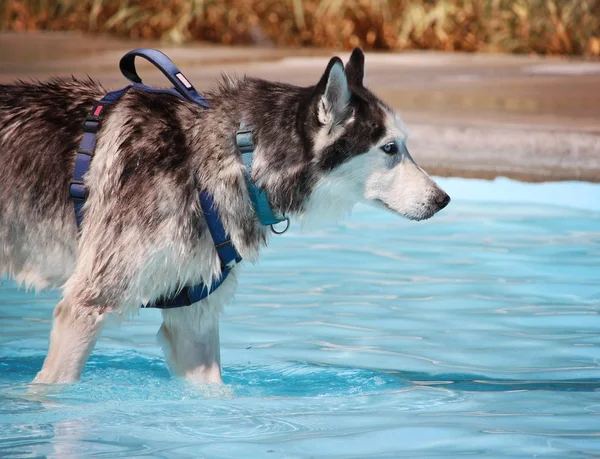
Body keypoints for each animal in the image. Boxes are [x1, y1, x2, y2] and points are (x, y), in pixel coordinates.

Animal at [1, 47, 450, 384]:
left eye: (404, 145)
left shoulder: (193, 317)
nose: (443, 199)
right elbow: (52, 393)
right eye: (389, 149)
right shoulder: (86, 305)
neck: (232, 159)